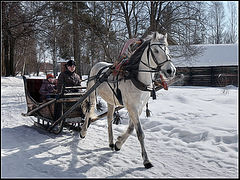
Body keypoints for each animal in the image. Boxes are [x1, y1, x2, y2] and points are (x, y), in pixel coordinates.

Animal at [79, 31, 175, 168]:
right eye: (156, 50)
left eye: (168, 50)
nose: (171, 70)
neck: (136, 77)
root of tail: (97, 64)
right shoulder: (132, 107)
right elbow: (140, 133)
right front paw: (146, 160)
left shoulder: (138, 107)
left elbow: (131, 128)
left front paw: (118, 143)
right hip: (92, 93)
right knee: (89, 109)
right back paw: (83, 131)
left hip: (111, 101)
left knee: (109, 119)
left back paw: (111, 142)